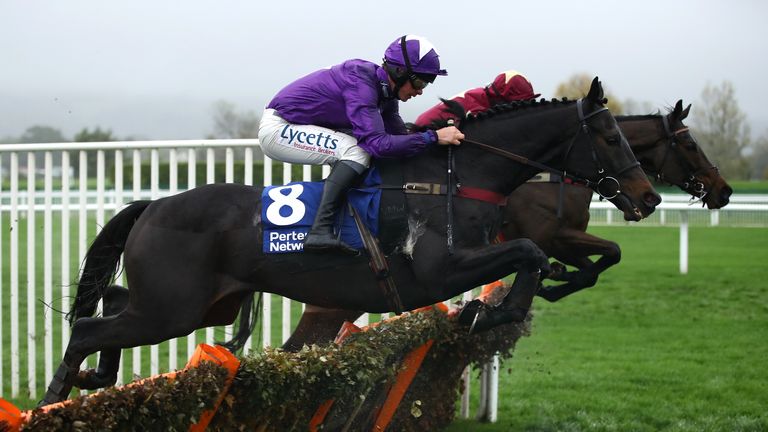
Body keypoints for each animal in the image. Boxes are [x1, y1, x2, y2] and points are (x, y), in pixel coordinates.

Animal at [40, 77, 660, 404]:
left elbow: (533, 259)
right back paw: (57, 394)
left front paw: (499, 307)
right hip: (175, 308)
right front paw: (486, 313)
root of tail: (153, 204)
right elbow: (529, 253)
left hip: (202, 306)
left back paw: (96, 376)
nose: (649, 196)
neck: (459, 174)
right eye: (612, 137)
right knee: (90, 328)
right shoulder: (440, 268)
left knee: (114, 301)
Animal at [280, 100, 732, 352]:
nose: (724, 191)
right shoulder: (552, 235)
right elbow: (602, 257)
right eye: (689, 144)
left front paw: (554, 280)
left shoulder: (555, 239)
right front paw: (552, 283)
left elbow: (598, 262)